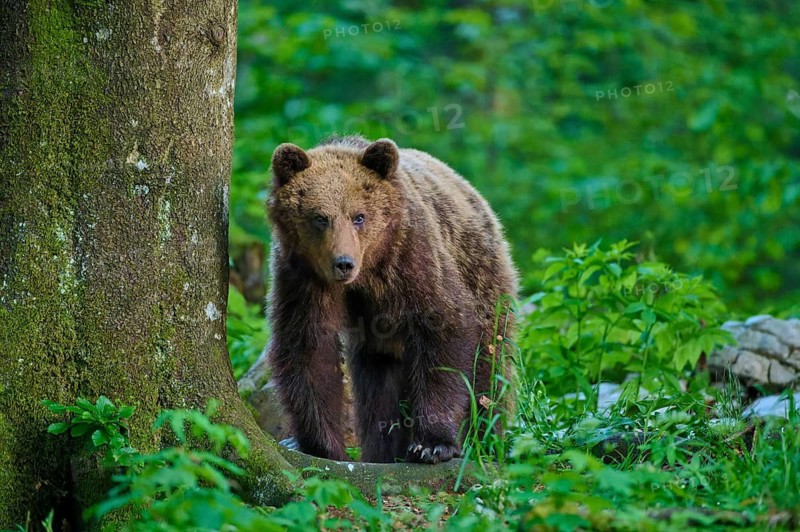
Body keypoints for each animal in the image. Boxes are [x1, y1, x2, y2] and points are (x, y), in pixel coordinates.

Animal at [266, 136, 517, 464]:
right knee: (377, 387)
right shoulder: (301, 279)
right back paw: (382, 451)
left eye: (359, 216)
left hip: (482, 272)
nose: (343, 263)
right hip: (379, 341)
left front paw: (432, 444)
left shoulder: (411, 259)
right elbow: (307, 348)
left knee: (488, 366)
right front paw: (319, 445)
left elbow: (444, 330)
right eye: (320, 218)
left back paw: (484, 441)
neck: (367, 272)